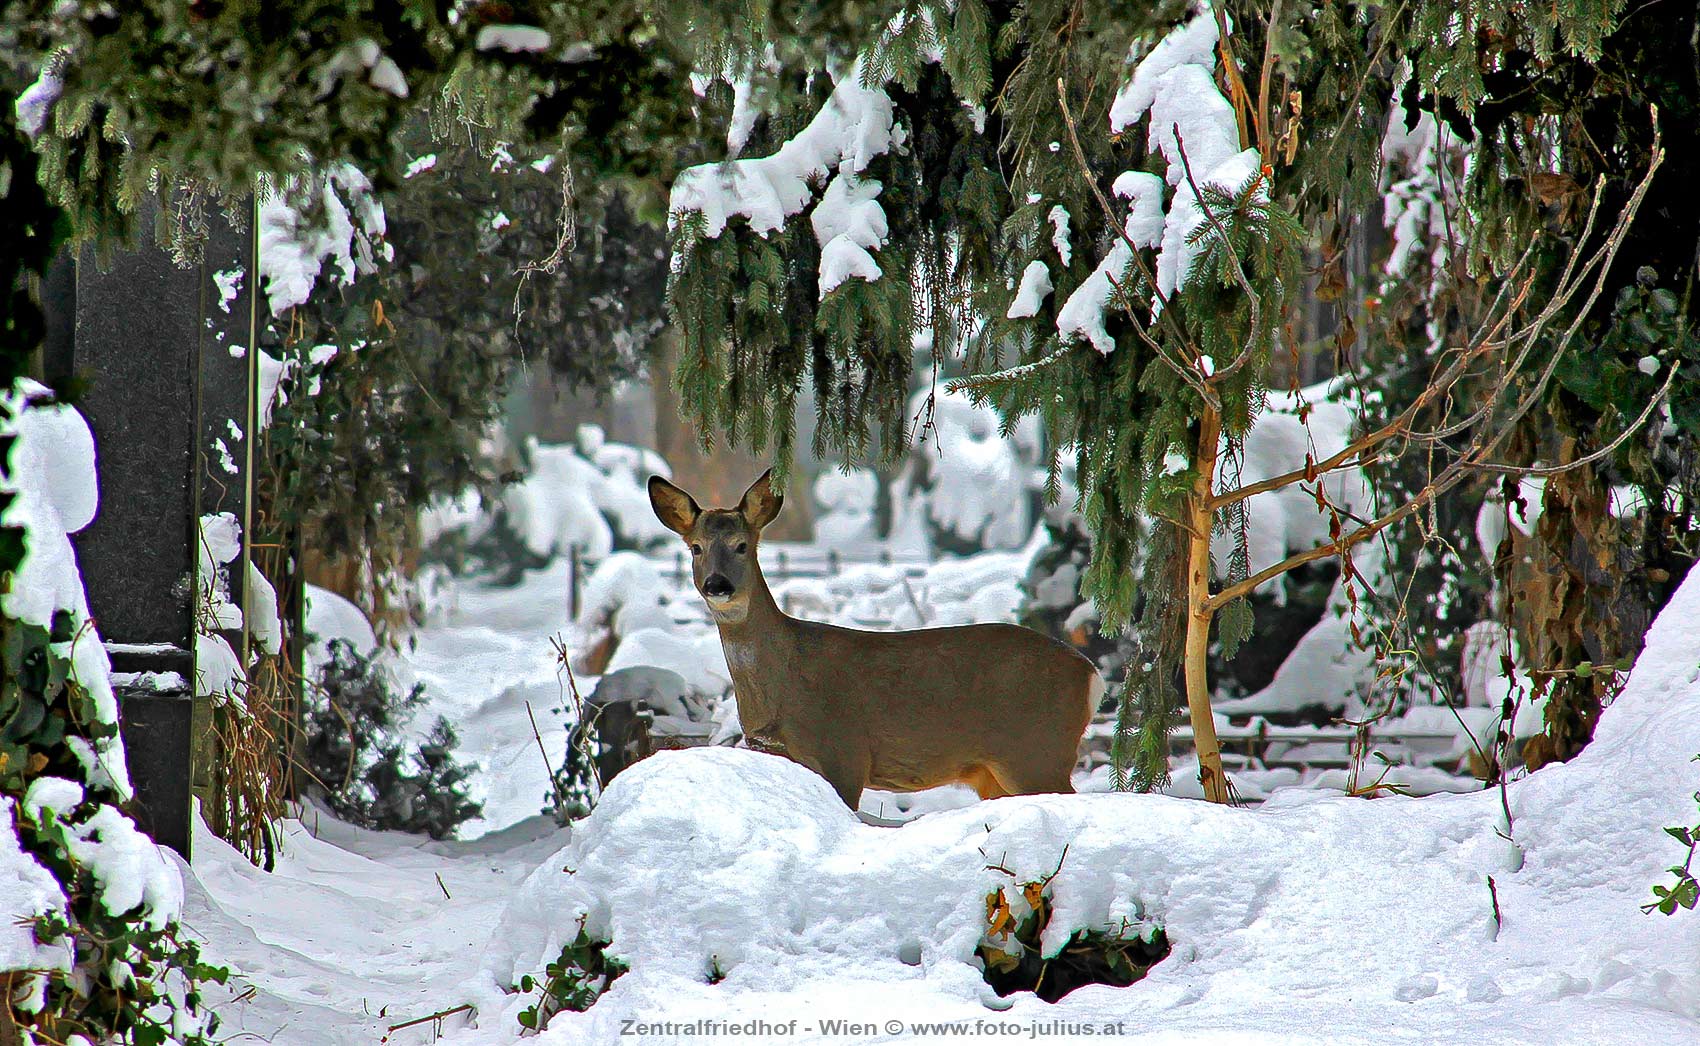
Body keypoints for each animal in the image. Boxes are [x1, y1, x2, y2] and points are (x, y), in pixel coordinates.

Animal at [639, 472, 1101, 809]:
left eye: (741, 545)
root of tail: (1090, 674)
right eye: (695, 547)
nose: (717, 585)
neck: (781, 687)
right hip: (998, 771)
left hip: (1036, 751)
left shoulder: (842, 751)